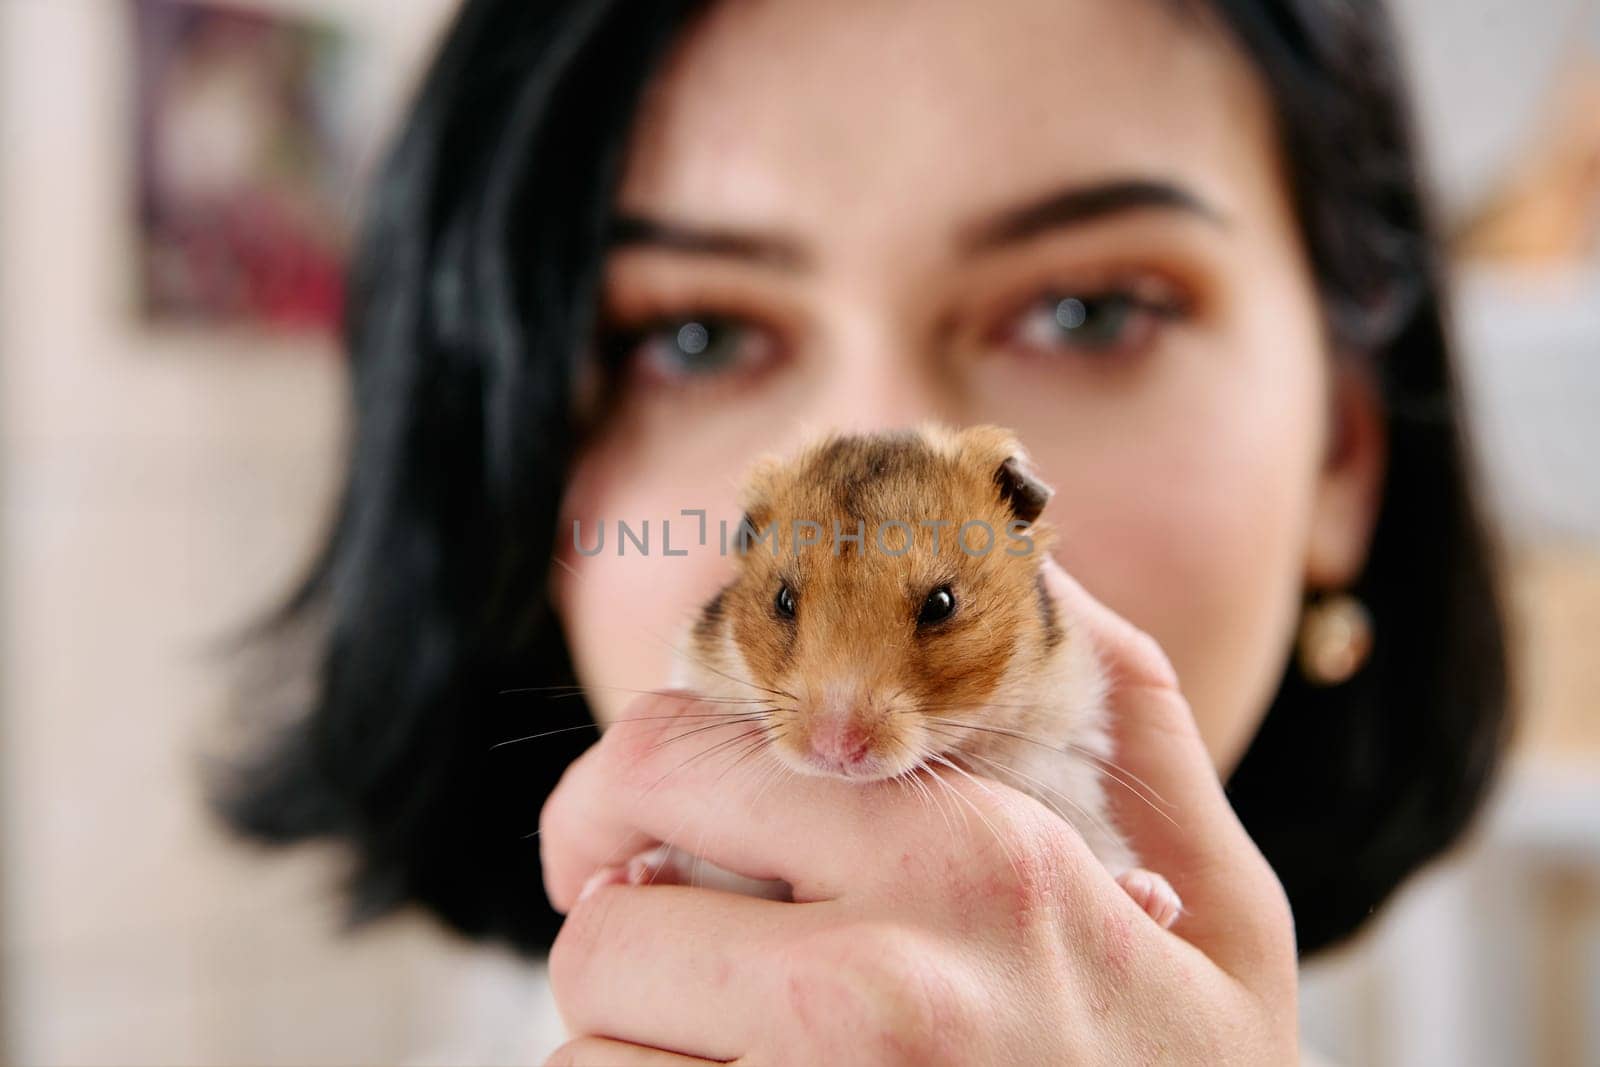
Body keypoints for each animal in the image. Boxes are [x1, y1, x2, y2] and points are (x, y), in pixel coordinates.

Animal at [630, 422, 1184, 927]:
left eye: (942, 603)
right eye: (783, 600)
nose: (834, 750)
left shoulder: (1067, 770)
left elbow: (1104, 846)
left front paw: (1154, 899)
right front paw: (635, 872)